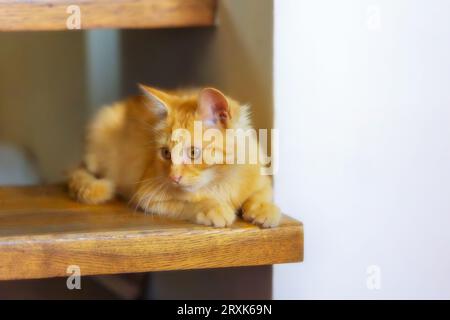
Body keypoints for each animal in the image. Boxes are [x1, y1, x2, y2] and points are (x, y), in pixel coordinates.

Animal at [68, 84, 280, 226]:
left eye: (193, 152)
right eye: (166, 153)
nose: (173, 177)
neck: (220, 179)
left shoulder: (263, 179)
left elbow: (261, 194)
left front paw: (264, 209)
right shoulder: (147, 195)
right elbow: (188, 203)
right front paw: (212, 207)